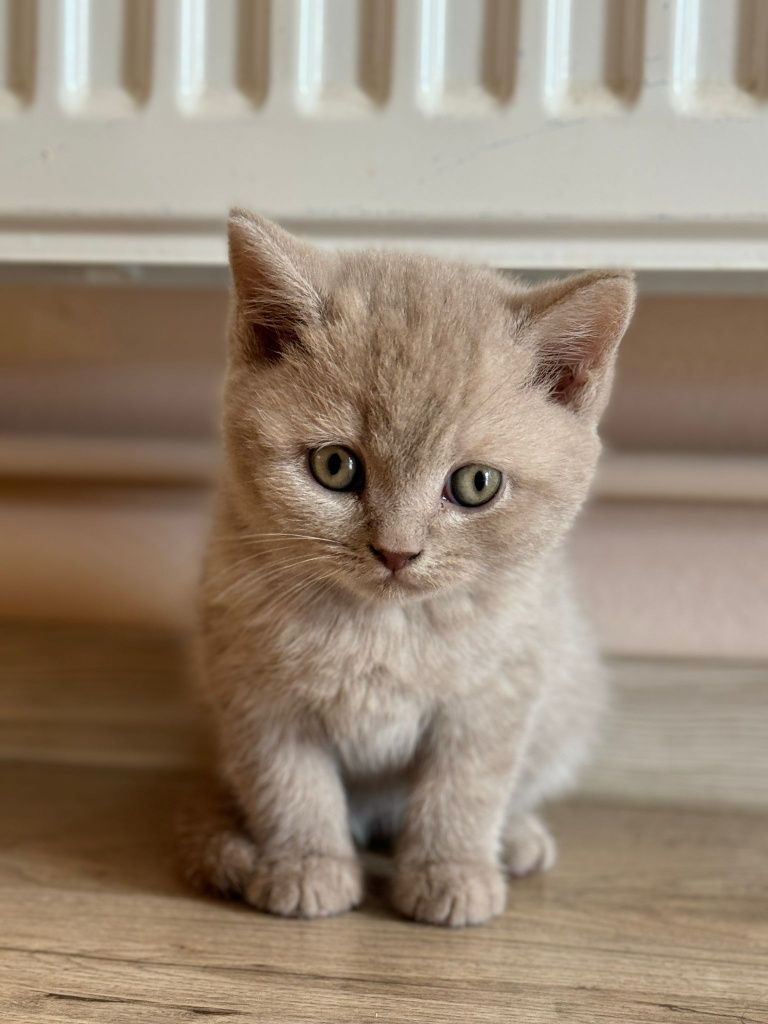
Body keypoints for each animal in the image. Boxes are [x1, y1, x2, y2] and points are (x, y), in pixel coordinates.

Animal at [182, 207, 638, 929]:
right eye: (334, 466)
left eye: (476, 483)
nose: (396, 552)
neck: (382, 629)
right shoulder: (257, 696)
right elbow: (291, 786)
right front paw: (306, 866)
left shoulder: (493, 699)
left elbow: (466, 789)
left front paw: (450, 873)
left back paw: (515, 839)